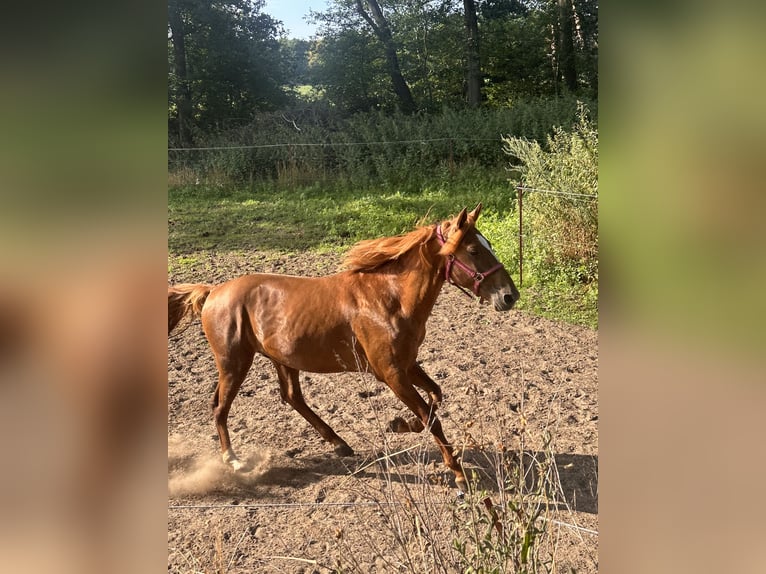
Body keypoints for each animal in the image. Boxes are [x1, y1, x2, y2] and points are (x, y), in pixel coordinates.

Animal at [168, 203, 519, 492]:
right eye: (473, 250)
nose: (509, 296)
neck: (389, 298)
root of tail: (213, 291)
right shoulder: (390, 373)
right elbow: (430, 415)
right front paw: (457, 474)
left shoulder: (407, 364)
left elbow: (435, 398)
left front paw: (400, 424)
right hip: (234, 362)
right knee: (220, 406)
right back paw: (234, 460)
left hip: (281, 358)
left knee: (292, 397)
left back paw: (340, 444)